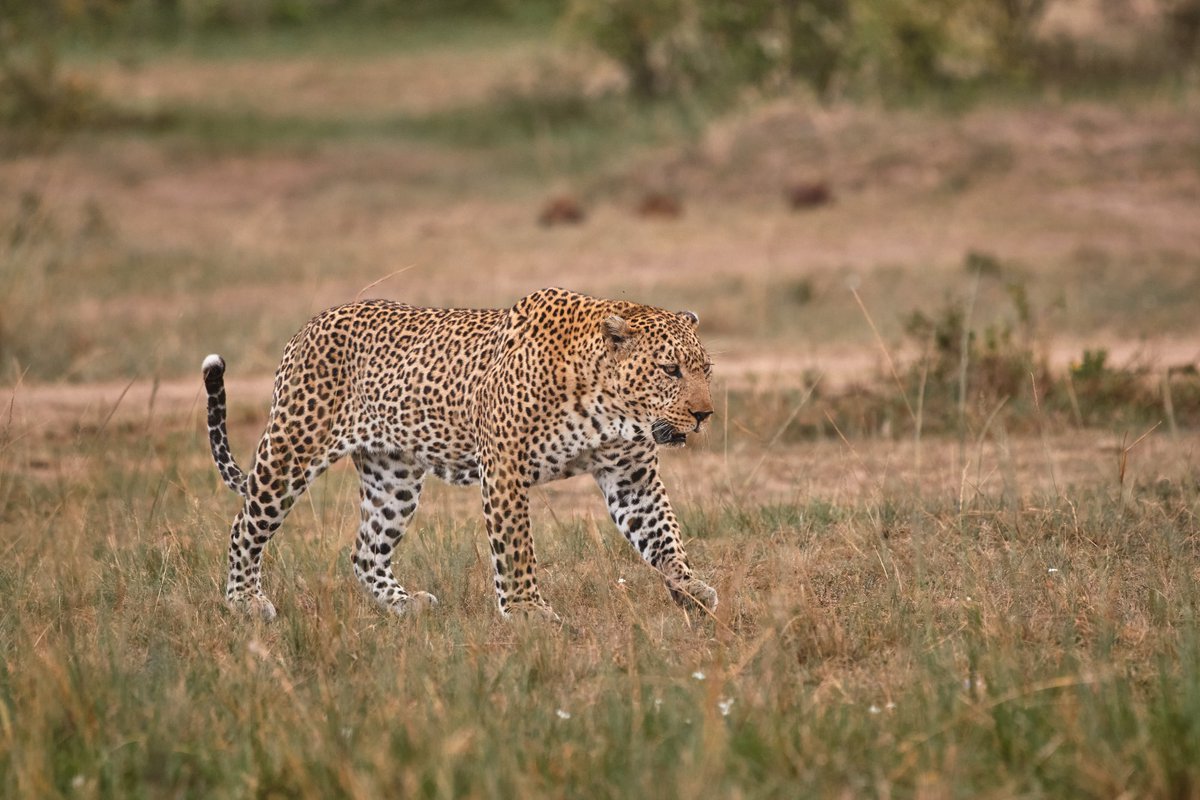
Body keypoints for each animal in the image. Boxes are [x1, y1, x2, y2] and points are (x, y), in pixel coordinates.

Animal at [201, 287, 715, 623]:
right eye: (670, 370)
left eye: (706, 370)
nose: (705, 414)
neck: (610, 405)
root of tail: (308, 326)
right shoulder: (505, 466)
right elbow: (516, 547)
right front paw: (527, 611)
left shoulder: (631, 477)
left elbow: (663, 534)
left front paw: (689, 588)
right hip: (291, 449)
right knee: (245, 526)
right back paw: (244, 601)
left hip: (394, 479)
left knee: (365, 549)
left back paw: (402, 604)